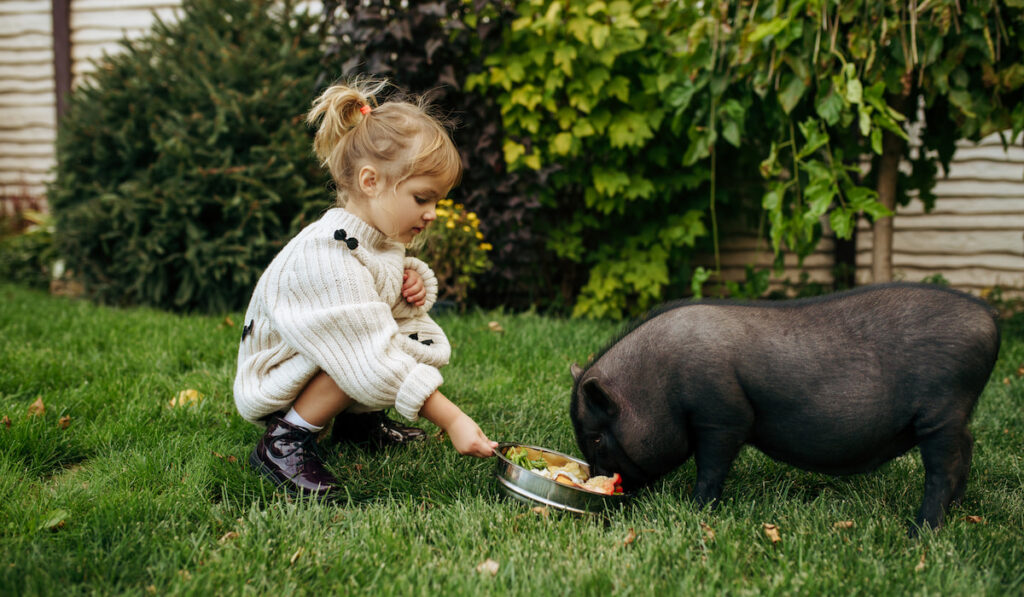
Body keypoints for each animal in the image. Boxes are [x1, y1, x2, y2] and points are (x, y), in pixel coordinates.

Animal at [569, 282, 999, 536]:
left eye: (596, 437)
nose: (602, 481)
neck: (661, 384)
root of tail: (990, 321)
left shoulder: (723, 417)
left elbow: (711, 467)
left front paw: (696, 508)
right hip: (956, 417)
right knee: (967, 450)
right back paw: (957, 511)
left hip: (942, 411)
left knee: (942, 470)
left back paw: (919, 532)